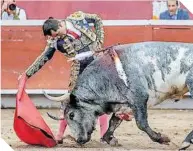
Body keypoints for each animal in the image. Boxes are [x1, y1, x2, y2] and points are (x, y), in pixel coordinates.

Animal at [44, 41, 193, 150]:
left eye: (71, 115)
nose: (79, 140)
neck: (108, 75)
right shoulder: (123, 106)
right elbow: (113, 122)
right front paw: (110, 139)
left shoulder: (139, 98)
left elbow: (141, 123)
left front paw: (162, 138)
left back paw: (185, 142)